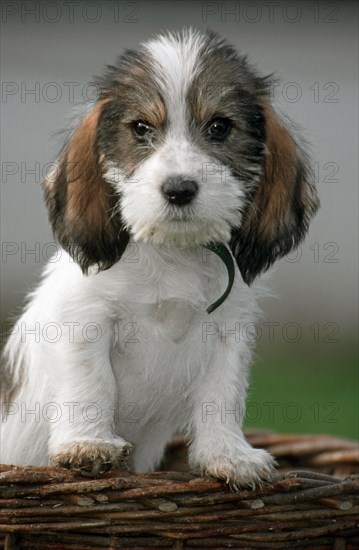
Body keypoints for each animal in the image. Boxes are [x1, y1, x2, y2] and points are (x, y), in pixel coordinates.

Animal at [0, 29, 320, 488]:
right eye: (140, 128)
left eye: (220, 127)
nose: (179, 189)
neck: (172, 252)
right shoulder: (85, 319)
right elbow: (91, 383)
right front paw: (87, 445)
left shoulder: (229, 332)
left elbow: (223, 395)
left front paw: (228, 456)